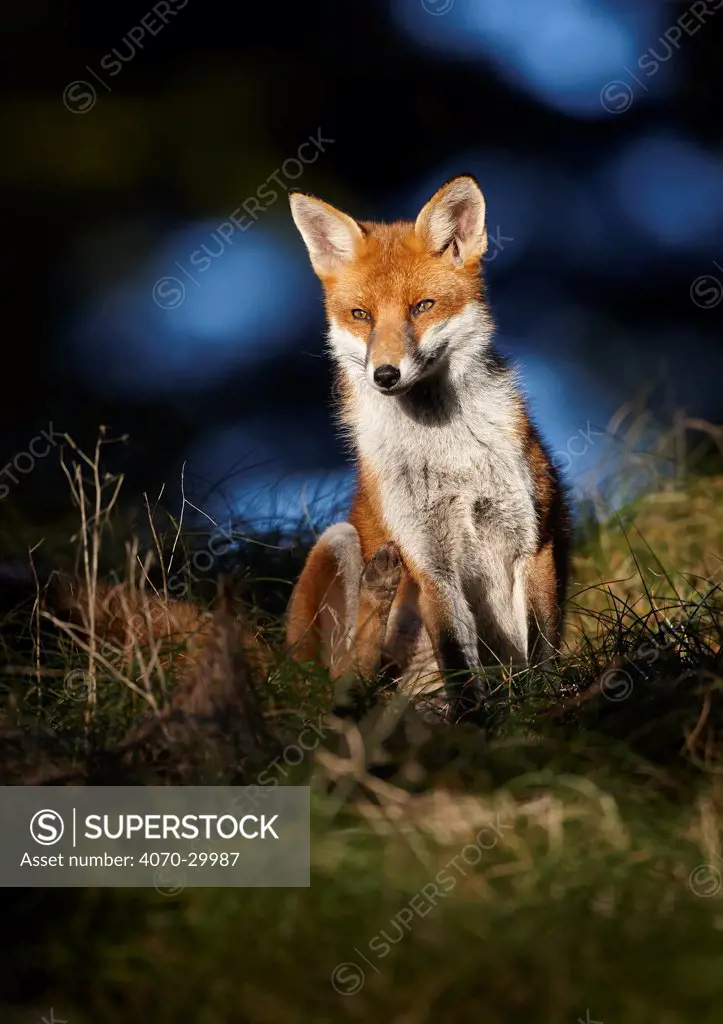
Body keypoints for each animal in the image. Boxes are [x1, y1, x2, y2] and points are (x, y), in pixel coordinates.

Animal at [282, 174, 569, 720]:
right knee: (343, 681)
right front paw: (474, 724)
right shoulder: (427, 559)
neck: (447, 450)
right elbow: (457, 658)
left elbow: (541, 645)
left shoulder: (531, 538)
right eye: (361, 315)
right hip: (336, 544)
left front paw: (548, 705)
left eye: (422, 307)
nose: (385, 374)